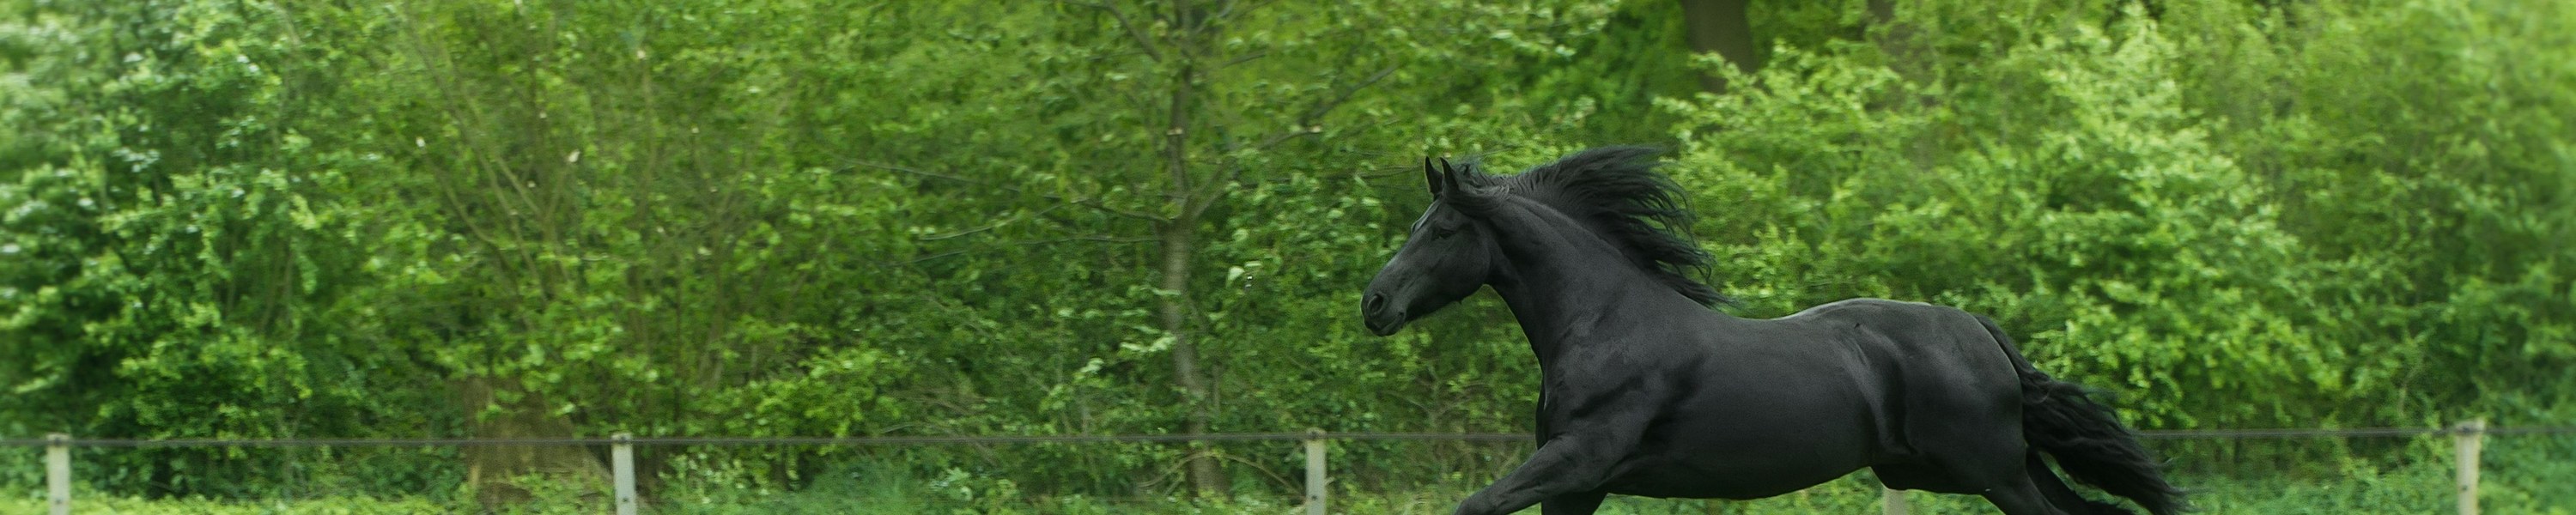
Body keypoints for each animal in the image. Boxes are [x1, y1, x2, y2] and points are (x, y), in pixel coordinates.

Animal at [1358, 147, 2185, 515]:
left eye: (1440, 231)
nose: (1374, 303)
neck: (1605, 326)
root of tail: (1980, 331)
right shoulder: (1578, 486)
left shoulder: (1577, 460)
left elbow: (1471, 506)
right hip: (1951, 469)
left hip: (1992, 470)